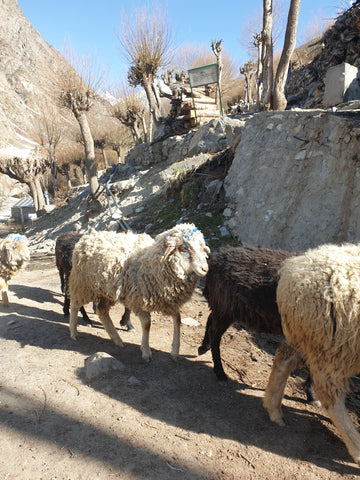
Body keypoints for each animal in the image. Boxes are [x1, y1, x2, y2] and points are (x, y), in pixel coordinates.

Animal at [68, 225, 210, 360]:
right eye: (184, 248)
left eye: (202, 247)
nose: (205, 268)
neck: (152, 263)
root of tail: (88, 236)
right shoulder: (140, 301)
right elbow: (147, 325)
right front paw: (146, 352)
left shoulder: (170, 302)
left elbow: (178, 320)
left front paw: (175, 351)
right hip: (83, 285)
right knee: (75, 305)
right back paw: (73, 332)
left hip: (106, 292)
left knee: (101, 310)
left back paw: (117, 339)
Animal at [262, 244, 360, 464]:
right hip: (333, 347)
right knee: (330, 397)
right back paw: (357, 447)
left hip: (310, 337)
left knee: (283, 359)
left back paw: (273, 408)